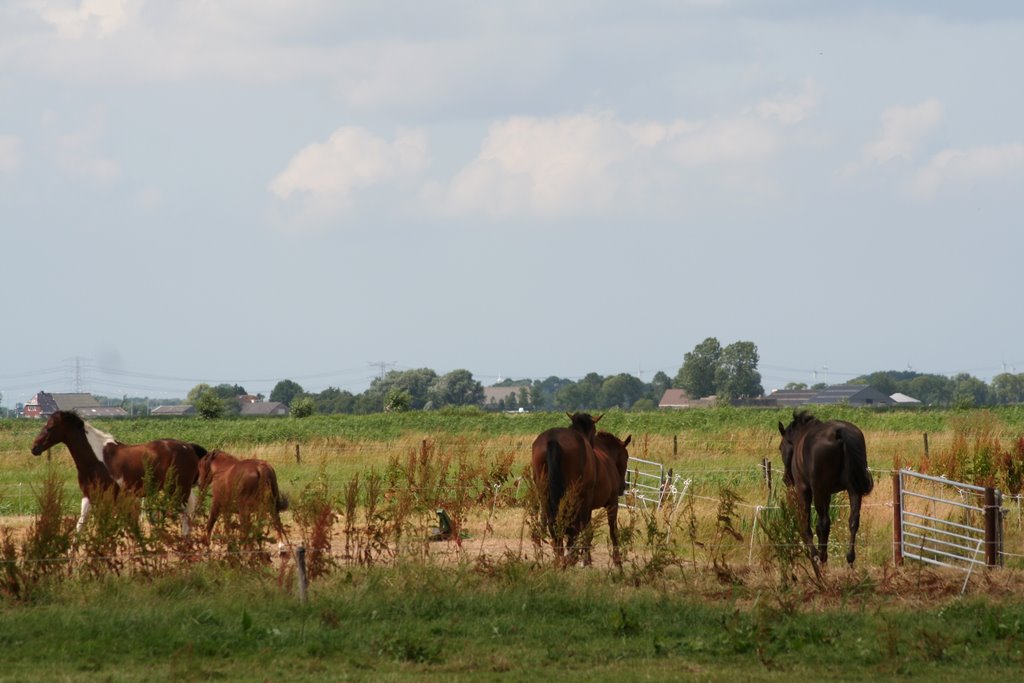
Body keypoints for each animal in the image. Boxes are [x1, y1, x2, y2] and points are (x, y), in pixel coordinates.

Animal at [29, 411, 204, 532]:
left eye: (50, 428)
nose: (34, 448)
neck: (96, 459)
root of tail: (188, 446)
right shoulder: (88, 496)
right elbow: (80, 526)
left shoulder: (113, 497)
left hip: (179, 492)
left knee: (185, 520)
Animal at [778, 411, 876, 565]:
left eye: (780, 447)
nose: (786, 479)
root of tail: (839, 432)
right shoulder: (828, 493)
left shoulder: (804, 491)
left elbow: (806, 524)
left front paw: (814, 555)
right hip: (853, 490)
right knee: (853, 521)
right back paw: (849, 558)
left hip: (819, 491)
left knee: (823, 523)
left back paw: (821, 557)